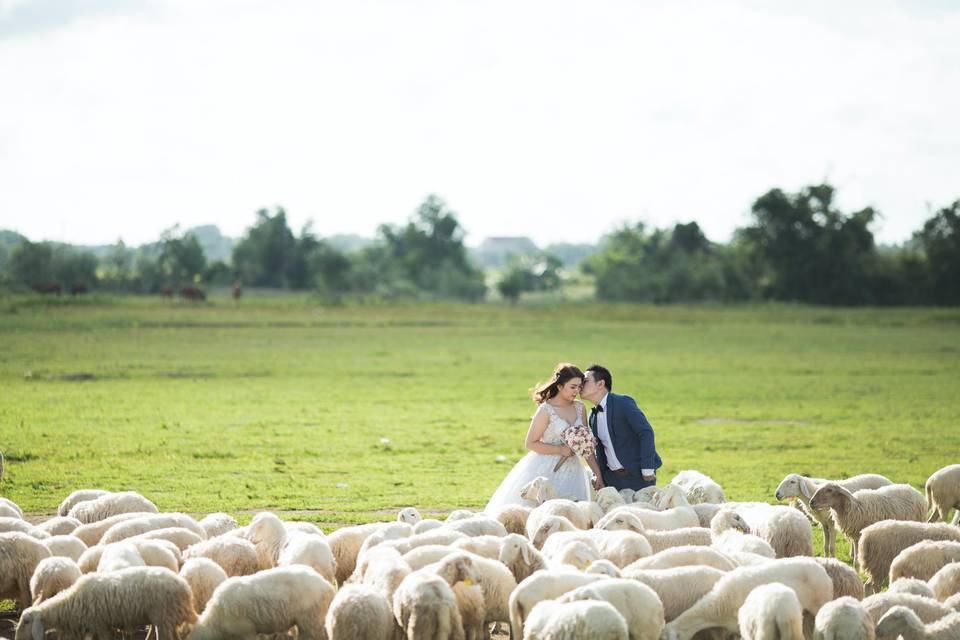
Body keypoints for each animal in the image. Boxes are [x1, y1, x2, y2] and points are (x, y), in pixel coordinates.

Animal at [16, 564, 197, 640]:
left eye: (26, 622)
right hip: (165, 619)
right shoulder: (97, 628)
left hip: (163, 617)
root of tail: (185, 588)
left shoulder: (101, 625)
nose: (17, 639)